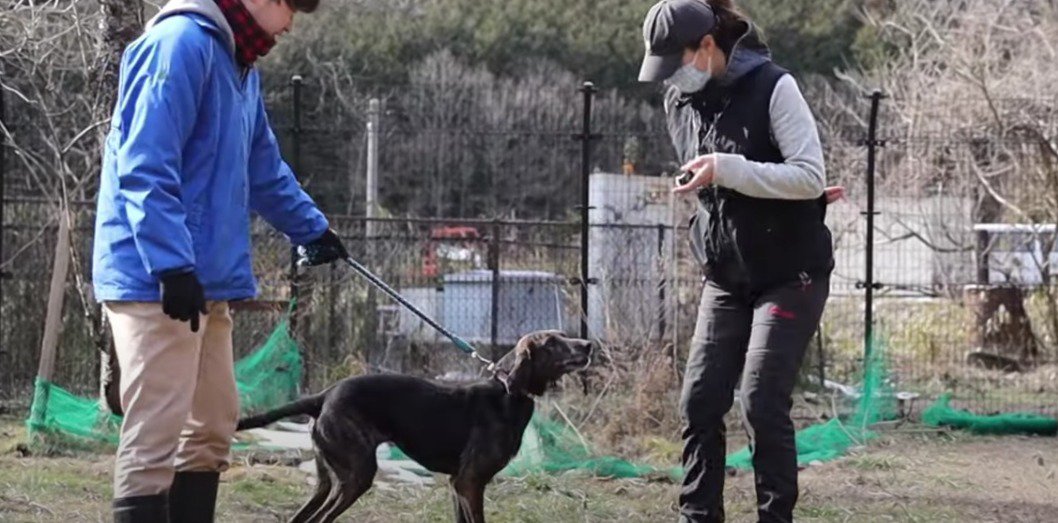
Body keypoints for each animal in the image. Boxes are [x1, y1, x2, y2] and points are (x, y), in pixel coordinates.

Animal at [234, 330, 592, 523]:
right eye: (551, 343)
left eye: (563, 336)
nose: (588, 345)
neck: (507, 392)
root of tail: (324, 396)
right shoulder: (470, 482)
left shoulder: (457, 484)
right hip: (356, 475)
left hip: (327, 479)